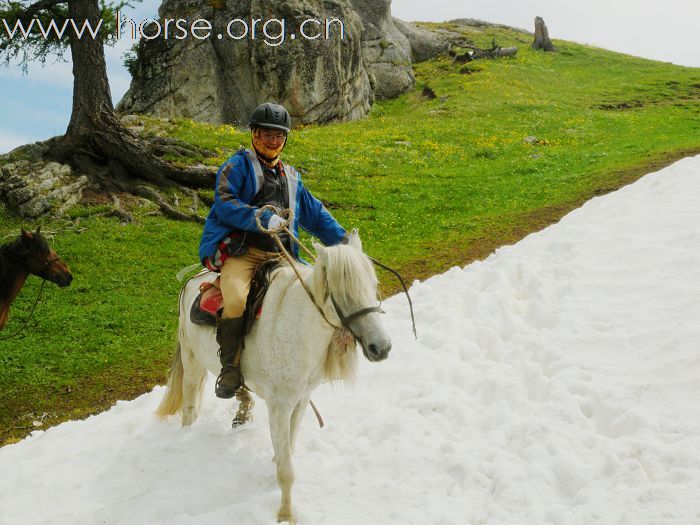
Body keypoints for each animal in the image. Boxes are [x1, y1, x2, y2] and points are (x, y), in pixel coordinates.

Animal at [155, 231, 392, 520]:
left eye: (373, 284)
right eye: (344, 294)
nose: (381, 347)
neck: (299, 327)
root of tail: (193, 280)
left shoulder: (301, 400)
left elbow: (288, 447)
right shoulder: (279, 405)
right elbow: (286, 470)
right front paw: (286, 514)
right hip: (192, 362)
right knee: (189, 404)